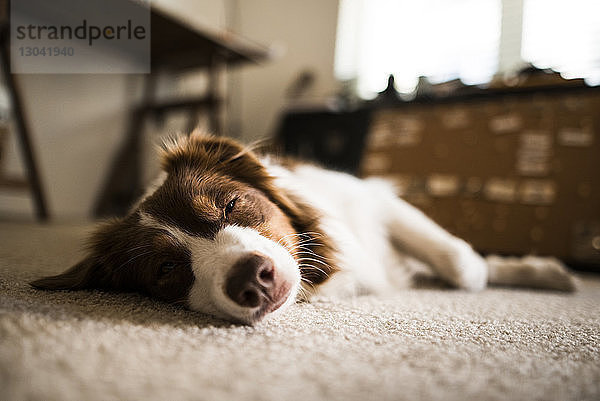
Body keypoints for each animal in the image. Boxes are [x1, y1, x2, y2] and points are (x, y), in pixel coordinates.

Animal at [29, 133, 576, 324]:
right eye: (165, 270)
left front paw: (526, 270)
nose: (253, 280)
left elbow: (461, 263)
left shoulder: (374, 200)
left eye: (231, 204)